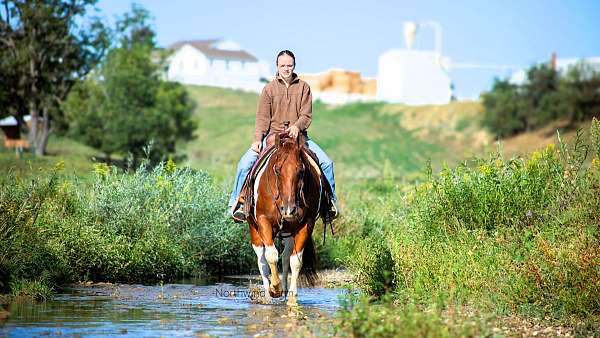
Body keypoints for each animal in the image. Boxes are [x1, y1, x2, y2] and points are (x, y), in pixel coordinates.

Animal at [245, 132, 322, 306]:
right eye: (277, 170)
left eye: (301, 171)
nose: (288, 209)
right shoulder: (263, 221)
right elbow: (271, 255)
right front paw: (275, 288)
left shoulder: (306, 224)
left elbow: (295, 261)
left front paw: (292, 299)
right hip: (254, 228)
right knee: (261, 259)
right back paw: (268, 294)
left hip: (288, 233)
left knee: (286, 256)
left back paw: (286, 291)